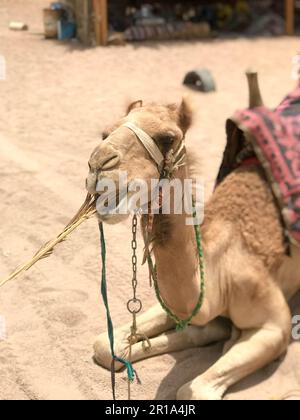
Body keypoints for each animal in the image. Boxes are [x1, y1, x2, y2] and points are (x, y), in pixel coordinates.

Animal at [86, 80, 300, 398]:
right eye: (105, 133)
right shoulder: (183, 306)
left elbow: (193, 389)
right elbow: (104, 345)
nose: (99, 165)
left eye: (167, 138)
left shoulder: (274, 326)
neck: (220, 266)